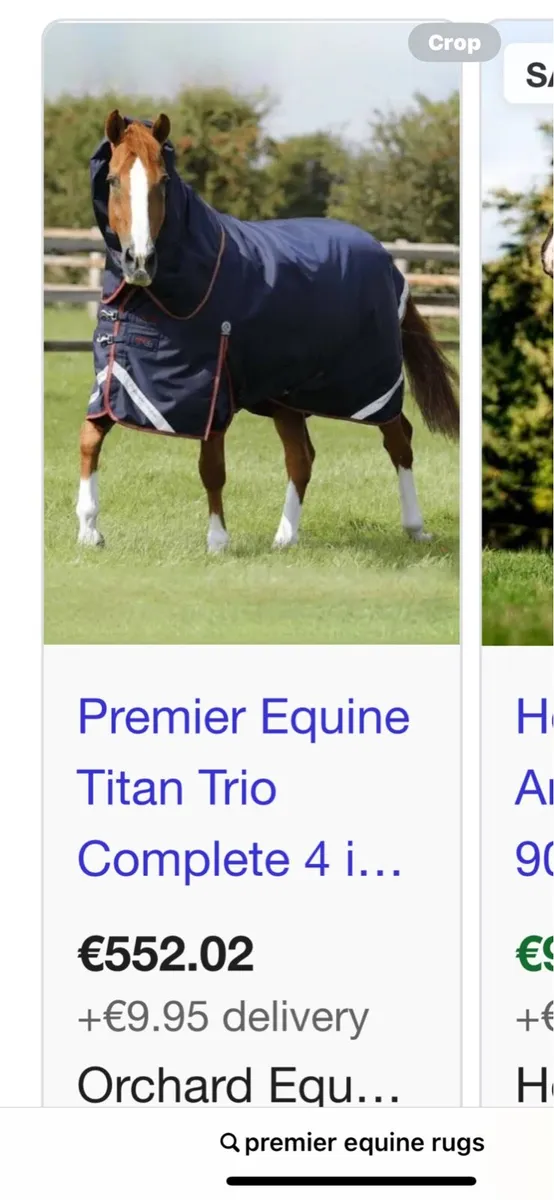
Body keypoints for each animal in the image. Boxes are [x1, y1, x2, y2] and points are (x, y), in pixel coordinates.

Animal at [77, 111, 459, 552]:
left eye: (164, 181)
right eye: (112, 180)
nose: (139, 260)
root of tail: (388, 260)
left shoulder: (211, 386)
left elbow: (211, 466)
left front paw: (217, 540)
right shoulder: (119, 378)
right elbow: (90, 438)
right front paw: (88, 530)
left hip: (373, 384)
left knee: (399, 439)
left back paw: (415, 527)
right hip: (288, 396)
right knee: (302, 457)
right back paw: (284, 538)